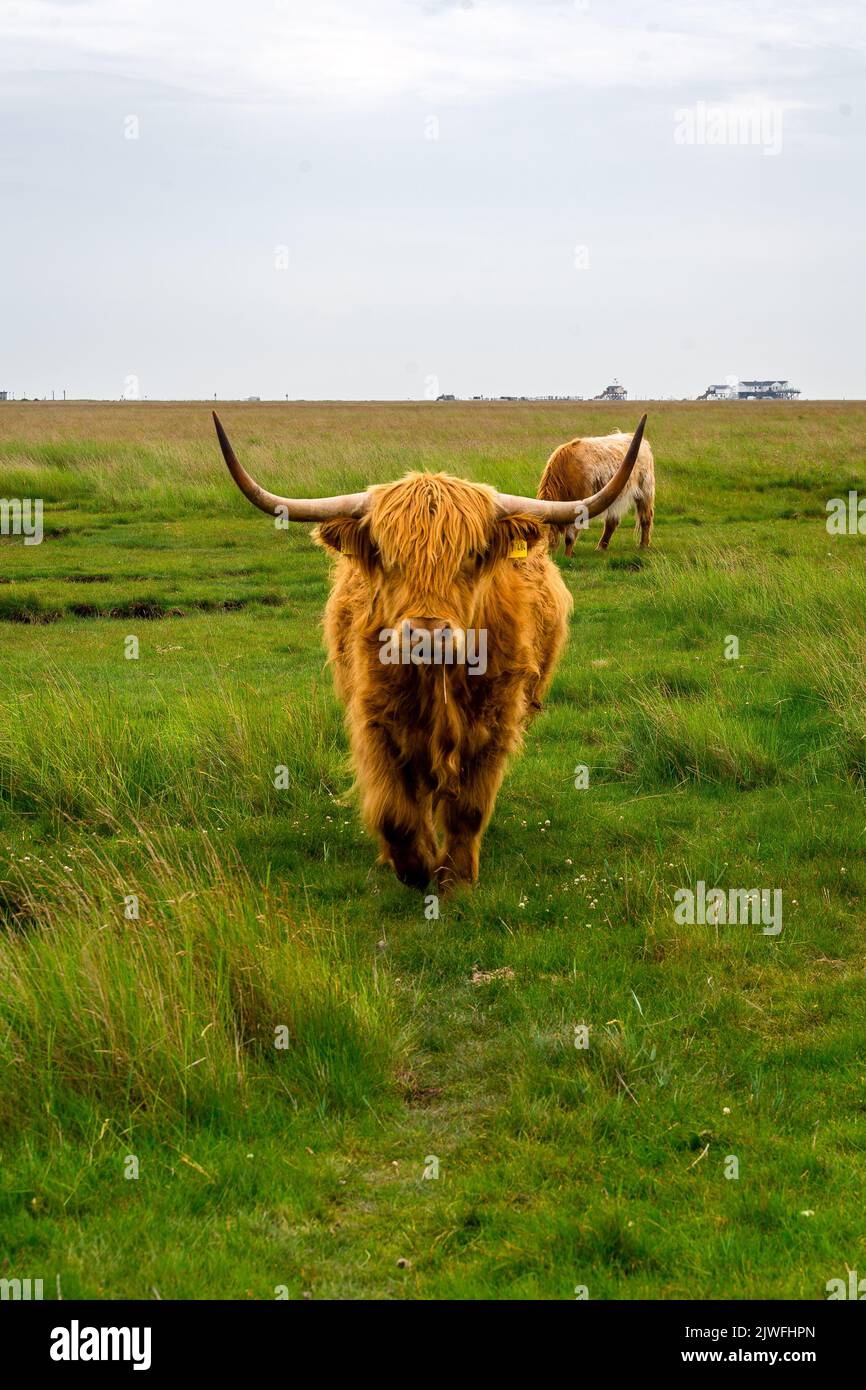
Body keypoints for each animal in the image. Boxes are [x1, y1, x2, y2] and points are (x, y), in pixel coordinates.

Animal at [214, 412, 646, 891]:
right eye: (386, 555)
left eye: (473, 554)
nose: (426, 635)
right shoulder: (376, 723)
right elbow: (395, 814)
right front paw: (416, 868)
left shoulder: (495, 724)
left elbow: (468, 810)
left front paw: (456, 877)